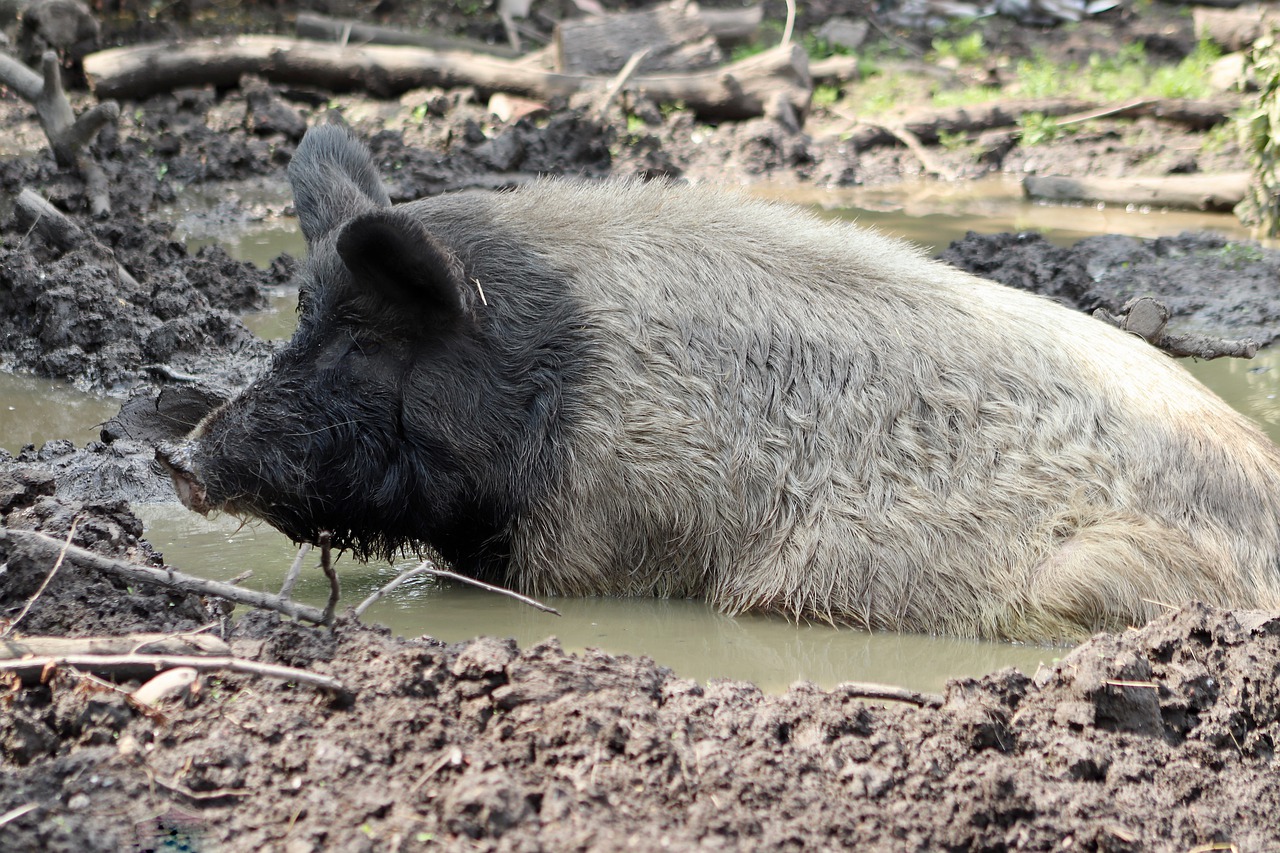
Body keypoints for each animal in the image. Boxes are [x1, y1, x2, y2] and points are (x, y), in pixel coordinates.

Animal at [157, 122, 1280, 640]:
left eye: (360, 338)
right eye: (302, 324)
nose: (183, 458)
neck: (548, 368)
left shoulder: (598, 536)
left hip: (1098, 576)